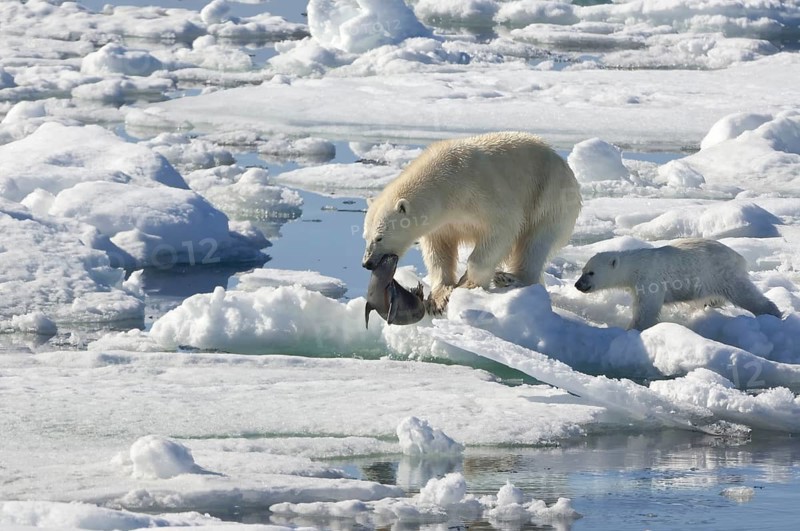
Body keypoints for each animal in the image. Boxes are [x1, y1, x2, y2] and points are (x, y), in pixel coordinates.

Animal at [362, 131, 582, 314]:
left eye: (379, 237)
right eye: (366, 236)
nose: (367, 262)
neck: (448, 184)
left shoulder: (483, 195)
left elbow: (502, 228)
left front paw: (467, 284)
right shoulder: (442, 223)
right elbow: (438, 250)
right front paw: (438, 298)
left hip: (549, 196)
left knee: (536, 243)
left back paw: (509, 278)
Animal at [574, 238, 783, 330]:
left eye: (591, 273)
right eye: (583, 270)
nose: (578, 284)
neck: (635, 266)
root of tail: (739, 257)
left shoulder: (650, 278)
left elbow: (646, 309)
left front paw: (632, 329)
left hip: (722, 273)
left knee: (745, 294)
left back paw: (772, 313)